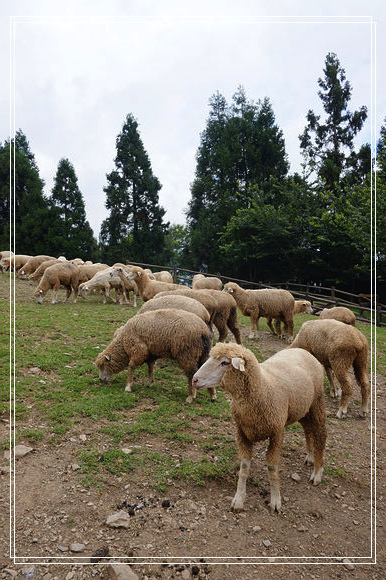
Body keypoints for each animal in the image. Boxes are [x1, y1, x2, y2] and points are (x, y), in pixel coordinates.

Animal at [192, 342, 326, 516]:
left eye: (225, 363)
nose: (194, 379)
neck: (262, 387)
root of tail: (302, 350)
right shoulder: (242, 432)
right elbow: (244, 468)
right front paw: (238, 499)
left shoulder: (277, 433)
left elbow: (272, 467)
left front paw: (275, 500)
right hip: (302, 407)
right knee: (308, 429)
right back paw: (309, 456)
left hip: (317, 401)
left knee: (320, 433)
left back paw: (317, 472)